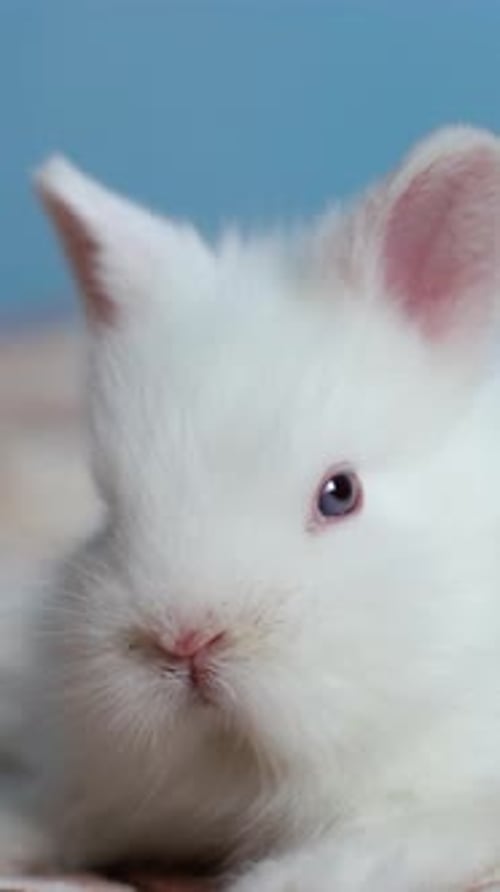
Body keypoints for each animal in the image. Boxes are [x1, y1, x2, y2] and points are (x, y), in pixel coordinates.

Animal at [3, 124, 500, 892]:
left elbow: (349, 860)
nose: (185, 639)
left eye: (340, 493)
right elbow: (61, 810)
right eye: (111, 506)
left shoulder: (444, 812)